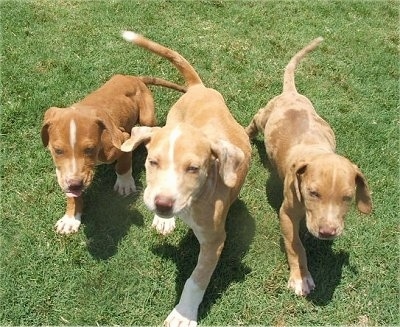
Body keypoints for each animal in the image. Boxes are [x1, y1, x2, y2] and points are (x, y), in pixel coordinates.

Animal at [42, 74, 186, 234]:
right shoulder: (63, 172)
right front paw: (70, 218)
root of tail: (134, 77)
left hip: (146, 117)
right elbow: (72, 194)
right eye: (57, 151)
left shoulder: (123, 139)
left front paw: (124, 184)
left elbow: (123, 165)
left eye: (90, 149)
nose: (75, 185)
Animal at [120, 31, 250, 327]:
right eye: (152, 162)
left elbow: (196, 280)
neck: (194, 202)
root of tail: (199, 88)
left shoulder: (215, 240)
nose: (162, 204)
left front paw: (183, 314)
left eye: (193, 168)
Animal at [245, 37, 374, 298]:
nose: (327, 232)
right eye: (313, 193)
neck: (316, 151)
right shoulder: (286, 213)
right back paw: (246, 133)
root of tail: (291, 93)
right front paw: (300, 277)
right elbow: (295, 245)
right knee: (256, 117)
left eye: (348, 198)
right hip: (265, 116)